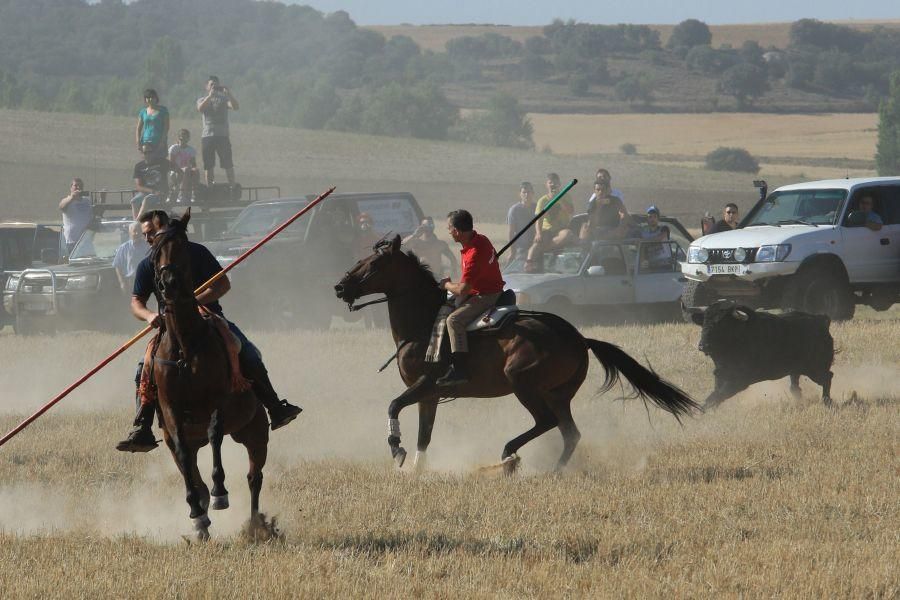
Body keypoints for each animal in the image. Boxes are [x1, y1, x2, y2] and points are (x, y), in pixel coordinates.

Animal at [149, 211, 268, 540]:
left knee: (254, 476)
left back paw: (256, 526)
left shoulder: (217, 398)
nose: (169, 283)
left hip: (256, 431)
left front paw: (220, 493)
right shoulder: (171, 410)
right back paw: (201, 517)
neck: (184, 347)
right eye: (155, 251)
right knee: (190, 465)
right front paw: (196, 513)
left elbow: (216, 433)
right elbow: (183, 454)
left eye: (183, 246)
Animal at [334, 237, 700, 472]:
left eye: (374, 263)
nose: (339, 287)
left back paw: (509, 454)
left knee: (547, 422)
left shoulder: (425, 383)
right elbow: (425, 433)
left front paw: (396, 448)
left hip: (523, 382)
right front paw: (417, 469)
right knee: (569, 432)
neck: (423, 324)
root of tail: (579, 338)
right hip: (558, 393)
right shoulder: (430, 395)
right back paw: (555, 471)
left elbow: (394, 405)